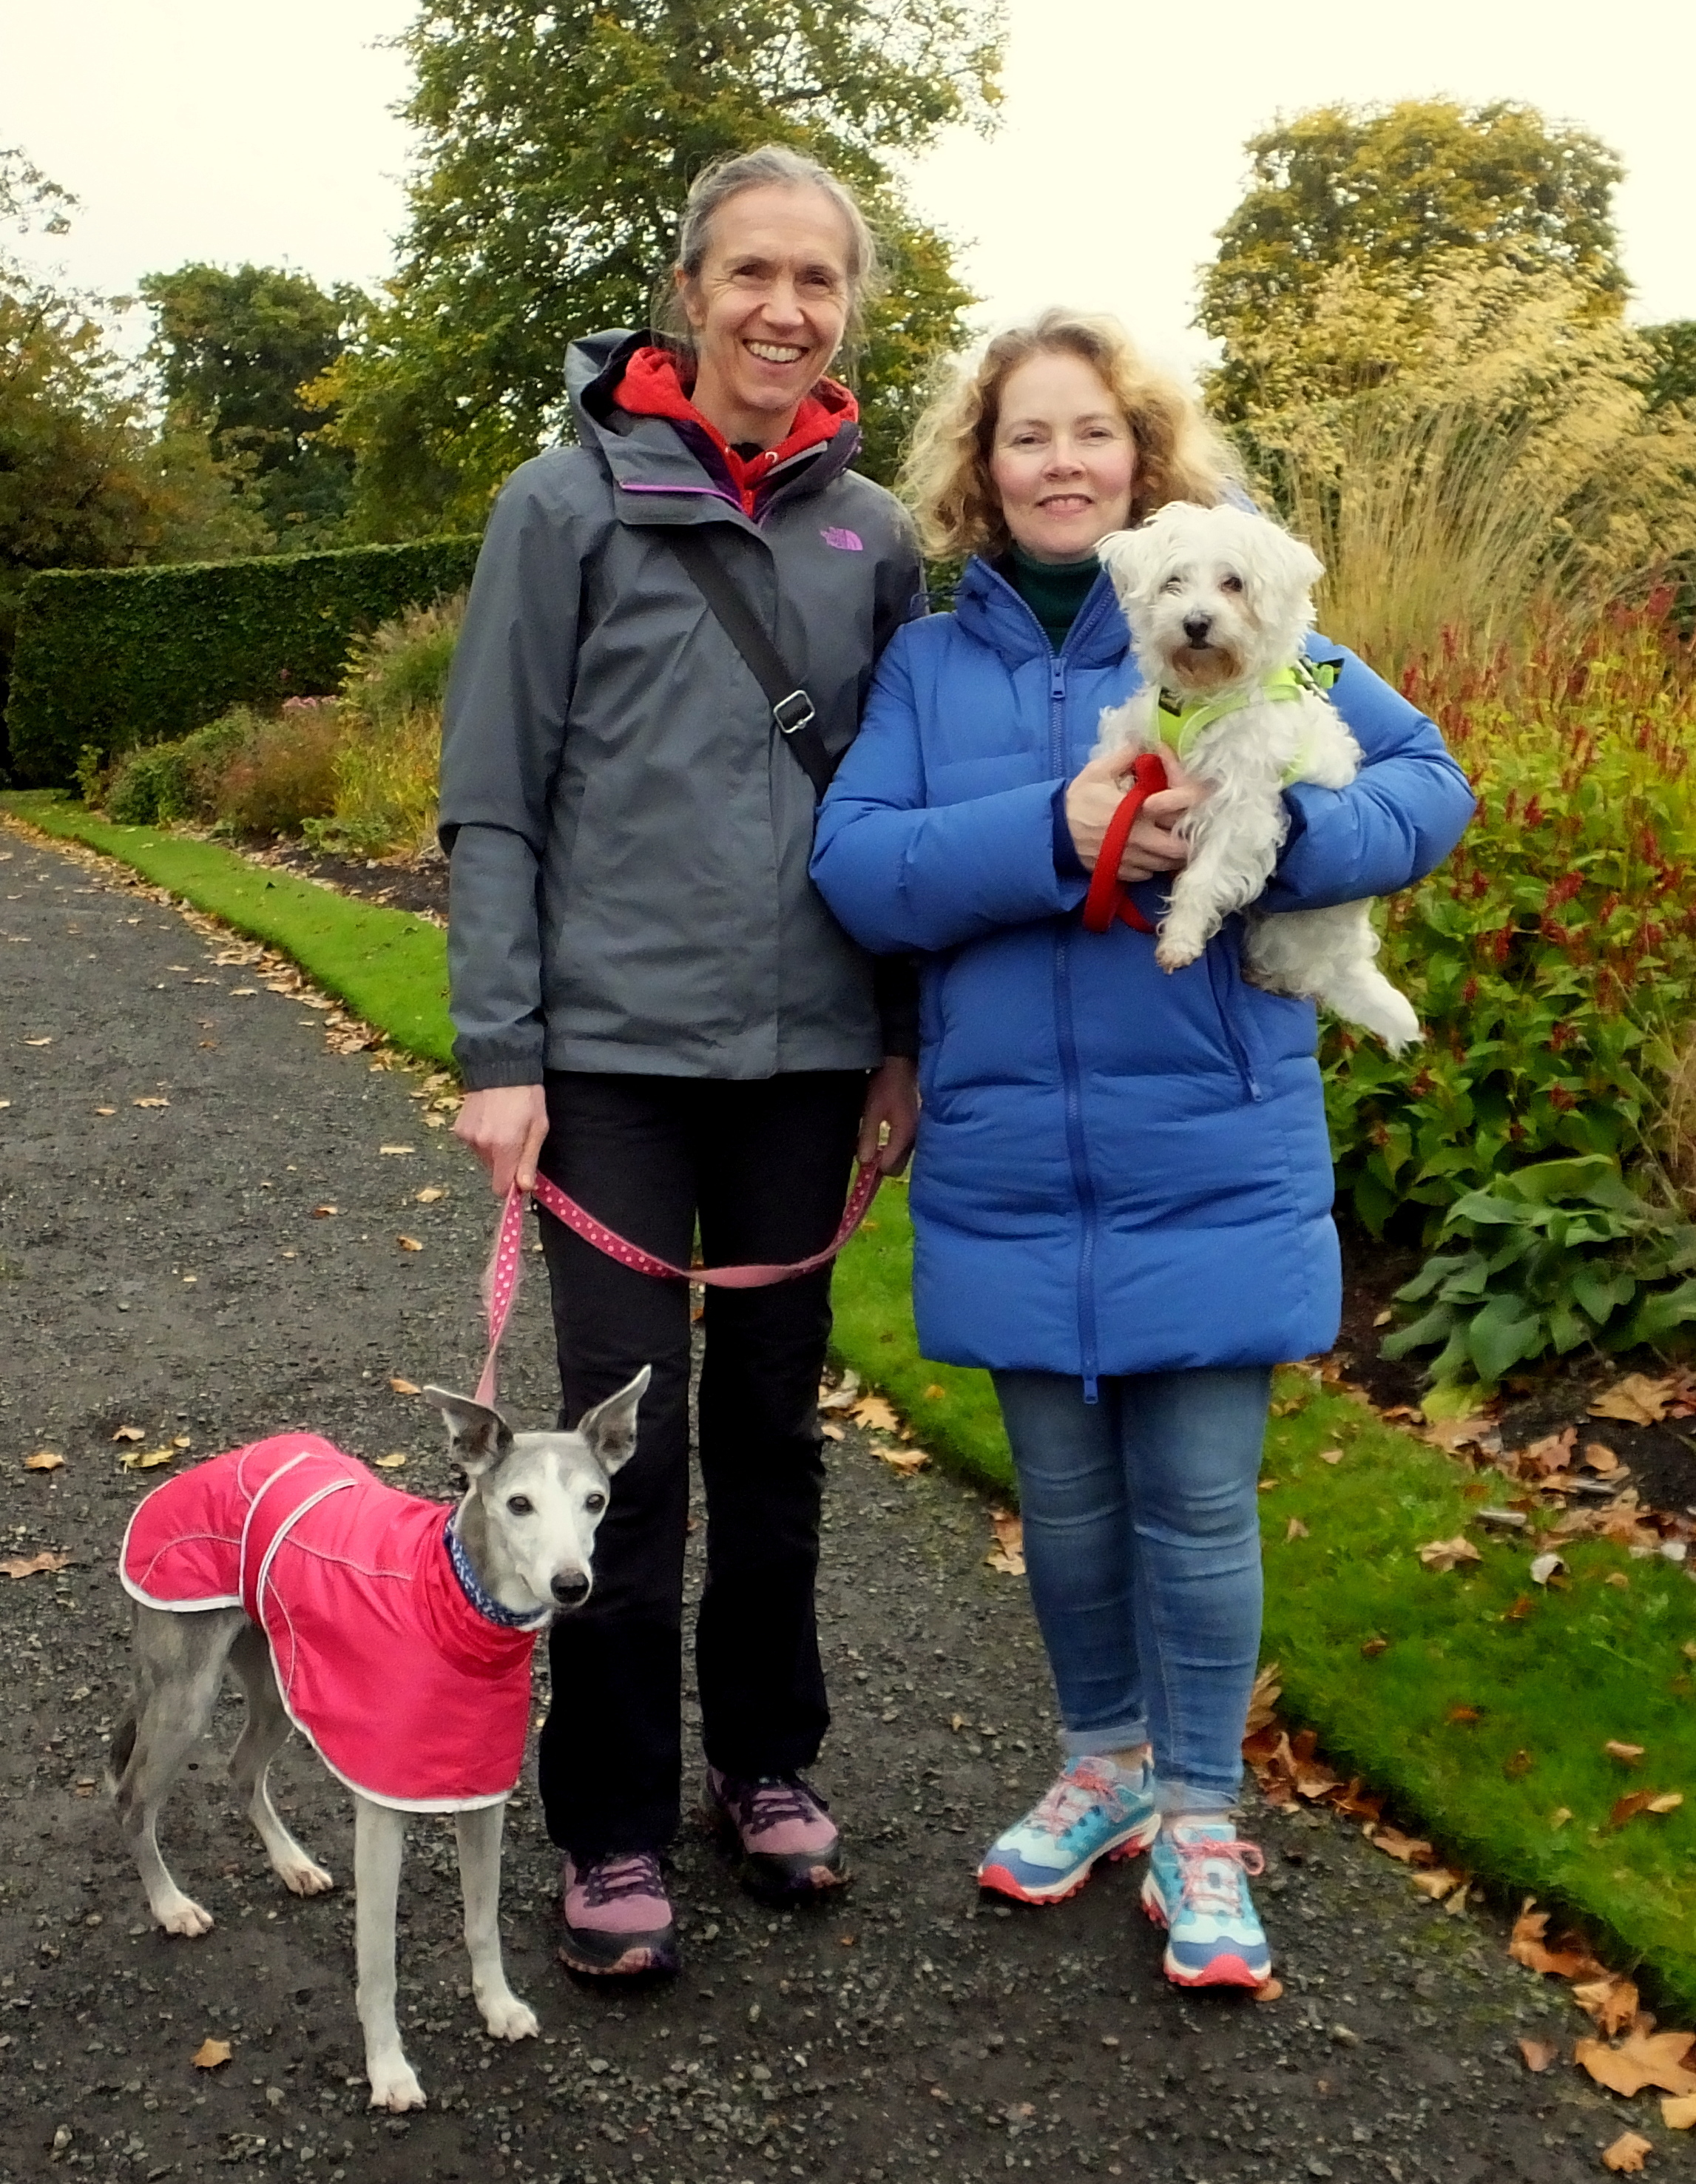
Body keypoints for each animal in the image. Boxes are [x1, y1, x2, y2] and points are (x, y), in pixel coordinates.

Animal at [1087, 502, 1414, 1048]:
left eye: (1233, 584)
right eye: (1173, 582)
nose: (1196, 623)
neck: (1205, 693)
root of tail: (1348, 950)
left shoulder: (1243, 810)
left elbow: (1201, 879)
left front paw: (1179, 939)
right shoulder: (1134, 730)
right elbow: (1109, 759)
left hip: (1287, 931)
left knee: (1307, 977)